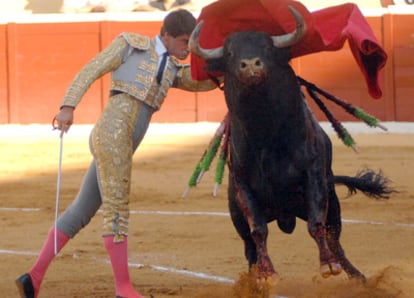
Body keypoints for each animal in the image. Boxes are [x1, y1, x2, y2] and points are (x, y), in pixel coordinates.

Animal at [189, 7, 392, 286]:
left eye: (267, 48)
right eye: (230, 53)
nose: (250, 64)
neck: (266, 133)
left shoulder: (314, 174)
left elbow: (317, 224)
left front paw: (328, 266)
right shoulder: (242, 185)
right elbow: (258, 230)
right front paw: (267, 274)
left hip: (333, 203)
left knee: (334, 238)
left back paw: (358, 278)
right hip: (236, 215)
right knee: (250, 247)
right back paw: (254, 280)